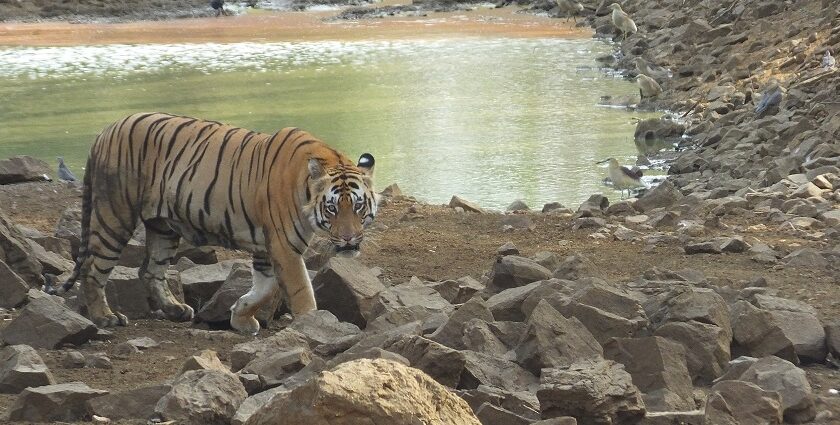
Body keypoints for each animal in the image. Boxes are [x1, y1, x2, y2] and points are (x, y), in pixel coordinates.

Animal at [55, 112, 378, 334]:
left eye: (358, 206)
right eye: (333, 209)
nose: (349, 239)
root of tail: (105, 130)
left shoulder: (268, 248)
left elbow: (264, 288)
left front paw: (240, 316)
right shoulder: (284, 246)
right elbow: (300, 289)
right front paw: (314, 324)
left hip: (162, 227)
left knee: (150, 271)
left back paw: (176, 310)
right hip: (114, 215)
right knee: (93, 269)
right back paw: (105, 317)